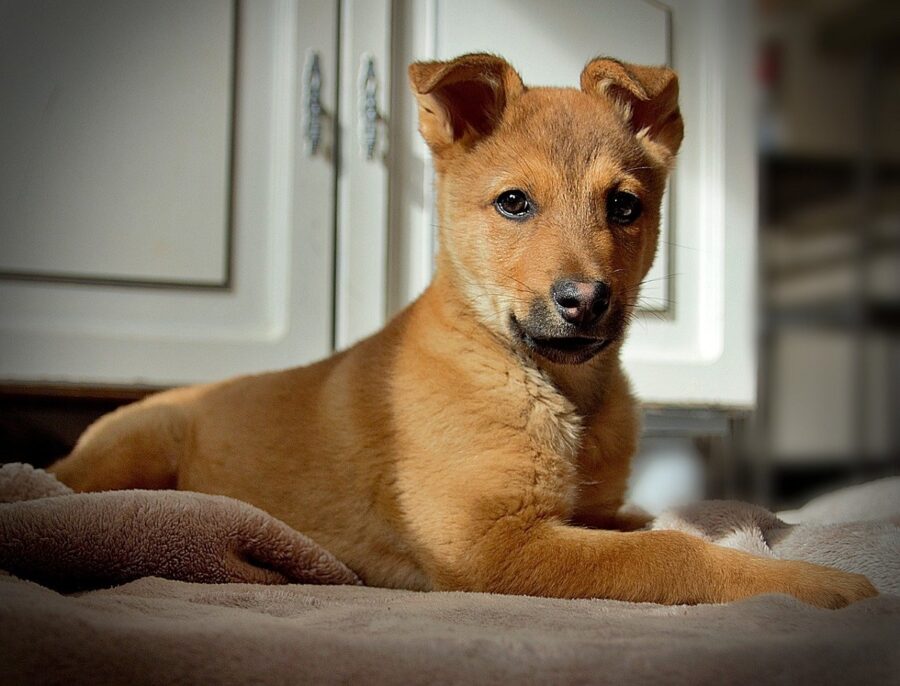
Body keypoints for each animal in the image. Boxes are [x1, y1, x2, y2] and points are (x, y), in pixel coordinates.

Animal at [47, 56, 872, 612]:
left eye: (625, 206)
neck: (551, 385)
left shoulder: (585, 514)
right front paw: (818, 584)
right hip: (139, 443)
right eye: (513, 203)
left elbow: (653, 525)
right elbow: (671, 553)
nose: (585, 301)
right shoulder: (490, 545)